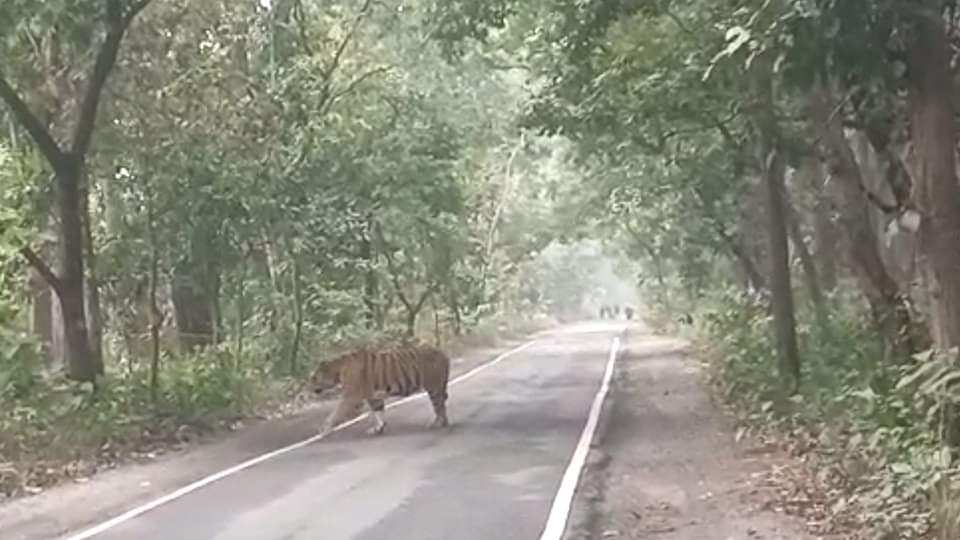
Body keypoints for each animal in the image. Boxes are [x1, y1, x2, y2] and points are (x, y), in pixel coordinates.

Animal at [308, 341, 451, 438]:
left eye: (314, 378)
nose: (307, 387)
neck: (338, 370)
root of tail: (443, 352)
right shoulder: (372, 396)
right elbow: (379, 412)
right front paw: (378, 429)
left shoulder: (351, 396)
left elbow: (335, 413)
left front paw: (323, 430)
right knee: (441, 405)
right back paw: (442, 422)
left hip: (433, 386)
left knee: (439, 406)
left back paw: (437, 423)